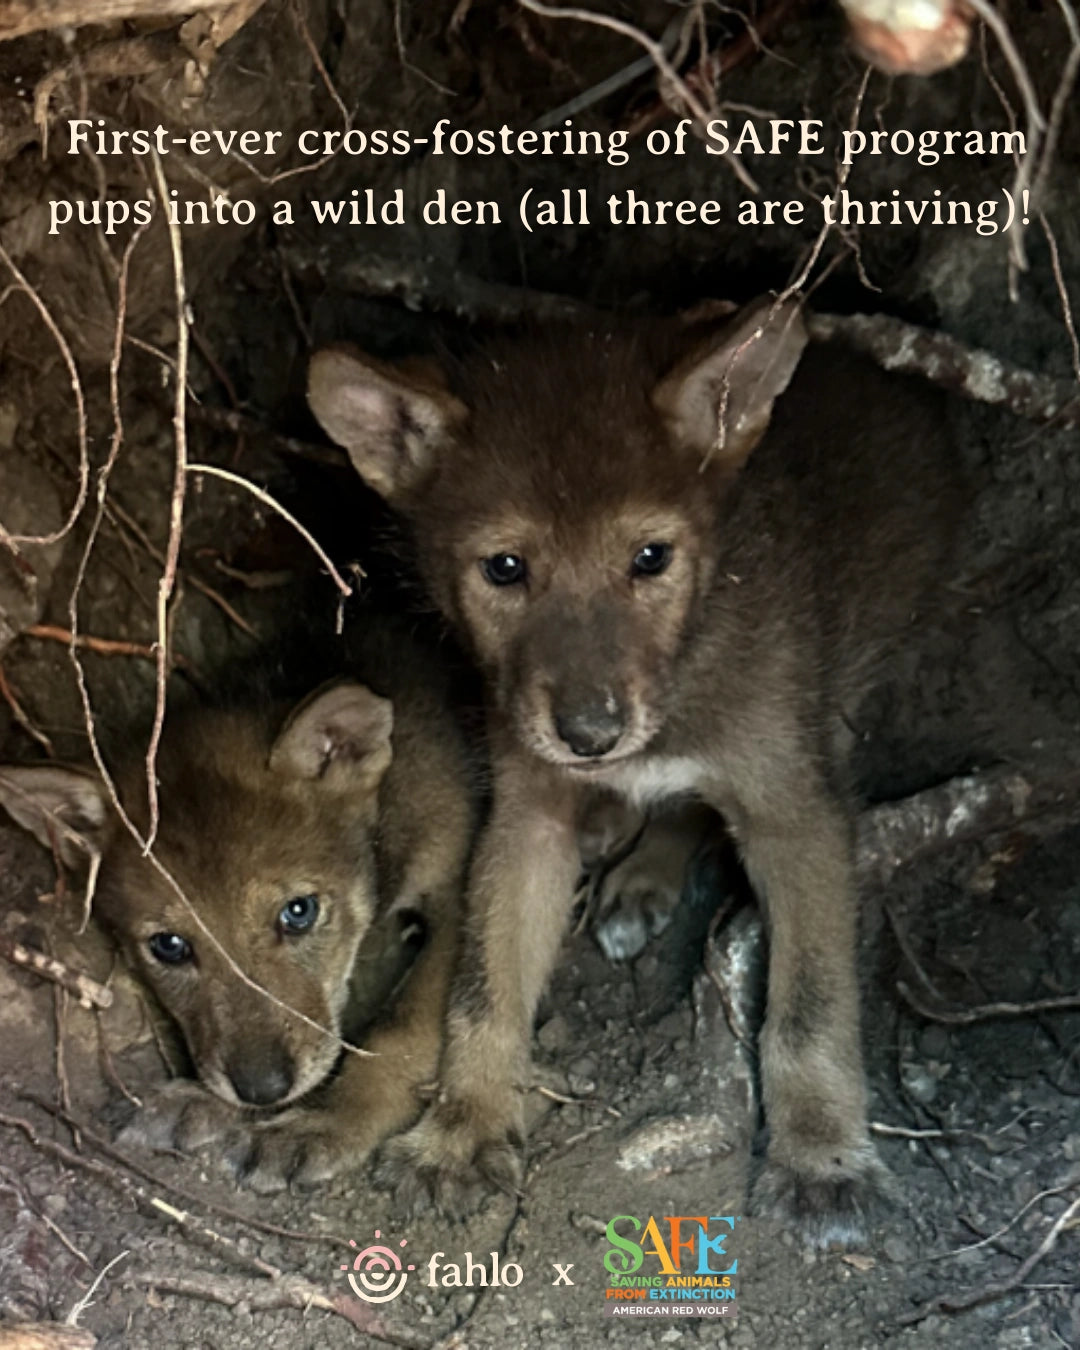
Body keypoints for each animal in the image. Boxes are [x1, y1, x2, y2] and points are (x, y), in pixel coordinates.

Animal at [307, 298, 959, 1243]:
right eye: (505, 567)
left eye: (650, 558)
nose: (590, 735)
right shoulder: (528, 817)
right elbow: (484, 990)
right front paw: (462, 1129)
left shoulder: (794, 808)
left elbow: (810, 1004)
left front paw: (823, 1154)